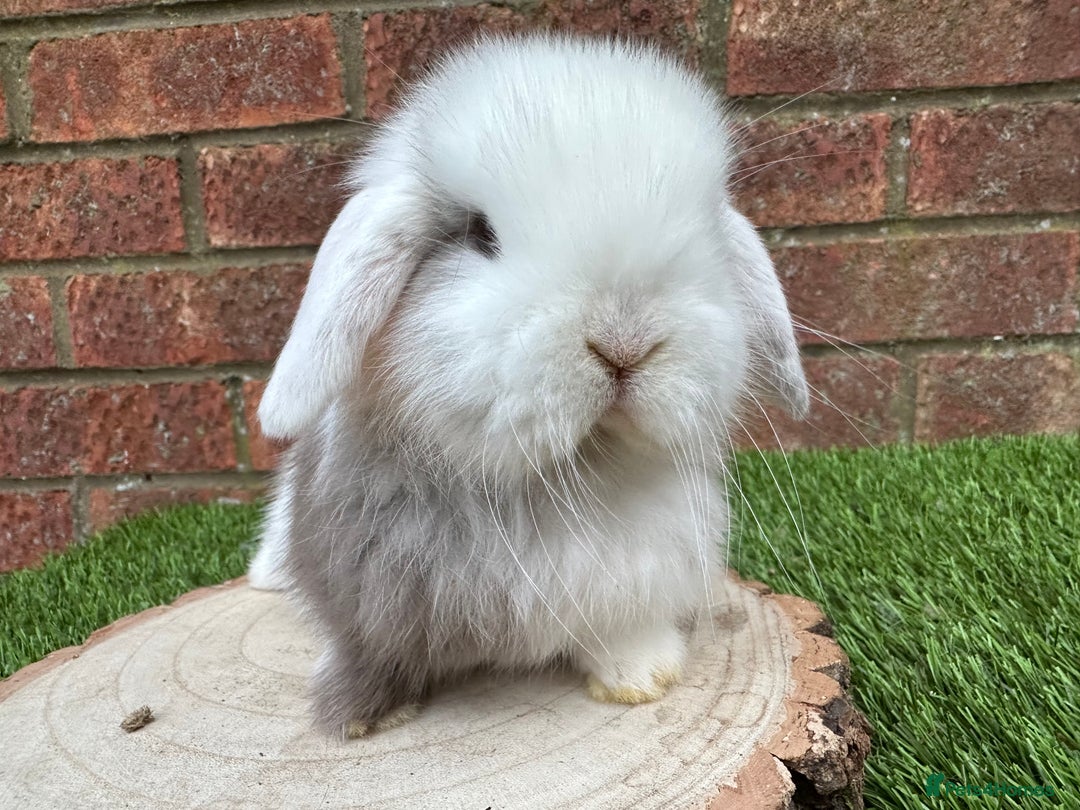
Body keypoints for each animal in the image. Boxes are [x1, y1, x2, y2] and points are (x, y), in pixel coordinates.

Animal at [249, 33, 809, 739]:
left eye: (707, 230)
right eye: (479, 233)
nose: (624, 344)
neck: (562, 482)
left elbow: (624, 630)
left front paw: (643, 678)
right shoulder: (363, 575)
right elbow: (370, 649)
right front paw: (358, 714)